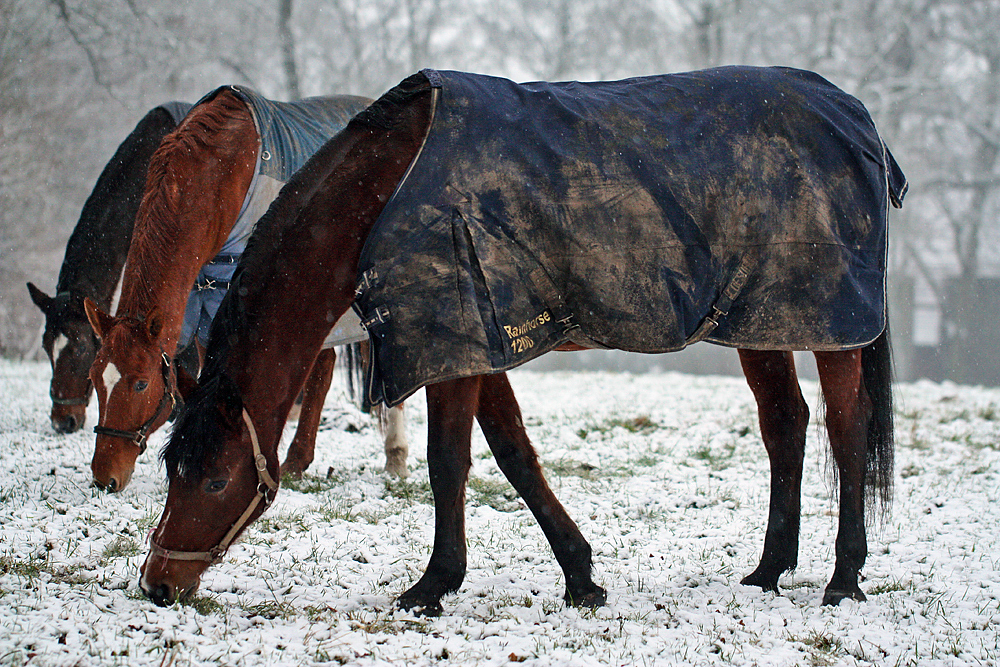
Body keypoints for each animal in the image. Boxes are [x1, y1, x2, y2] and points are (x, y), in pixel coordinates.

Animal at [81, 86, 402, 494]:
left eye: (140, 384)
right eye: (94, 380)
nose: (105, 477)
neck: (217, 176)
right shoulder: (206, 298)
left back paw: (395, 456)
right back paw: (300, 459)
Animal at [135, 68, 908, 616]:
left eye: (214, 478)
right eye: (171, 470)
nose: (158, 582)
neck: (387, 191)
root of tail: (856, 118)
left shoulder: (451, 342)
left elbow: (450, 463)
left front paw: (431, 586)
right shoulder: (478, 346)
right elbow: (515, 454)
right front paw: (581, 576)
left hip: (830, 327)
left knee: (846, 428)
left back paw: (843, 578)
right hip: (762, 323)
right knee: (786, 425)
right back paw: (769, 570)